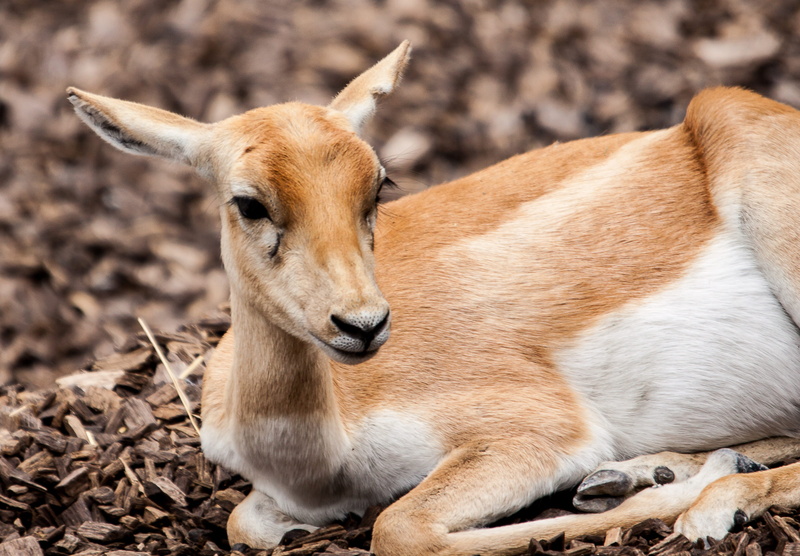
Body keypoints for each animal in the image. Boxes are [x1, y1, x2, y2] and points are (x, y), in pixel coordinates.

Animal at [67, 41, 800, 556]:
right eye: (248, 202)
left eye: (380, 184)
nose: (362, 324)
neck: (323, 461)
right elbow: (244, 524)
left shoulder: (540, 429)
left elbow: (397, 527)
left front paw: (695, 488)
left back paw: (709, 494)